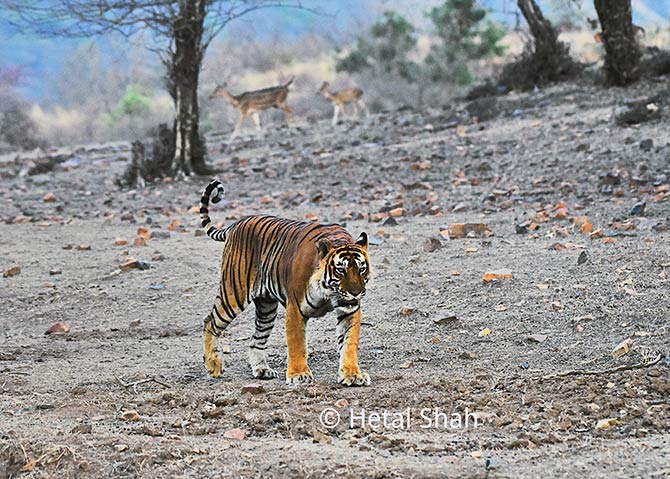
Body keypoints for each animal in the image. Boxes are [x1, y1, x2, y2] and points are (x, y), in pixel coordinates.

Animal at [200, 179, 372, 386]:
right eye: (341, 270)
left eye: (361, 269)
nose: (356, 292)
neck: (328, 292)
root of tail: (235, 224)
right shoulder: (295, 308)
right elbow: (297, 343)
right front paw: (299, 375)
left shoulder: (349, 310)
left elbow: (349, 343)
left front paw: (352, 374)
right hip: (233, 293)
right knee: (210, 321)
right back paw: (214, 365)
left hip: (266, 308)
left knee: (256, 339)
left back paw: (262, 370)